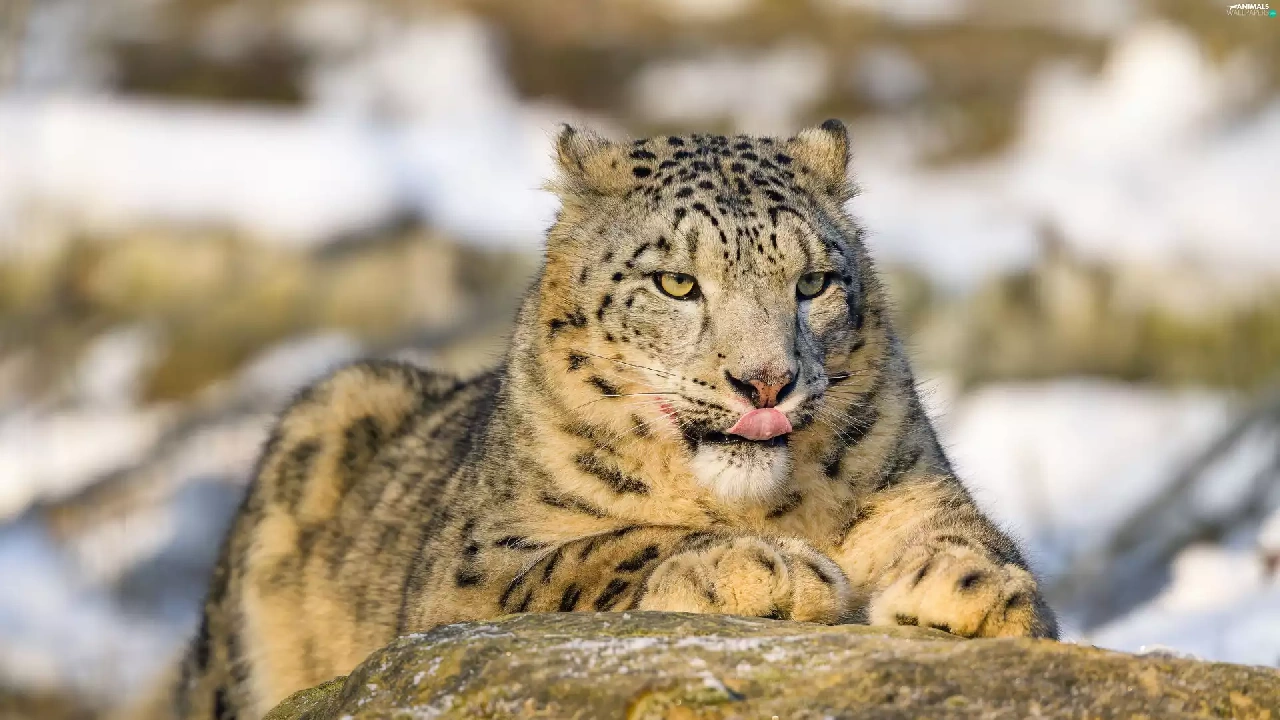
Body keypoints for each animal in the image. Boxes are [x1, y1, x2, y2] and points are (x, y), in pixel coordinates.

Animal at [160, 120, 1057, 719]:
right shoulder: (468, 578)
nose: (766, 382)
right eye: (676, 283)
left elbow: (975, 536)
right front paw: (766, 568)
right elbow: (603, 549)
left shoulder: (913, 482)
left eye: (813, 282)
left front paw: (972, 586)